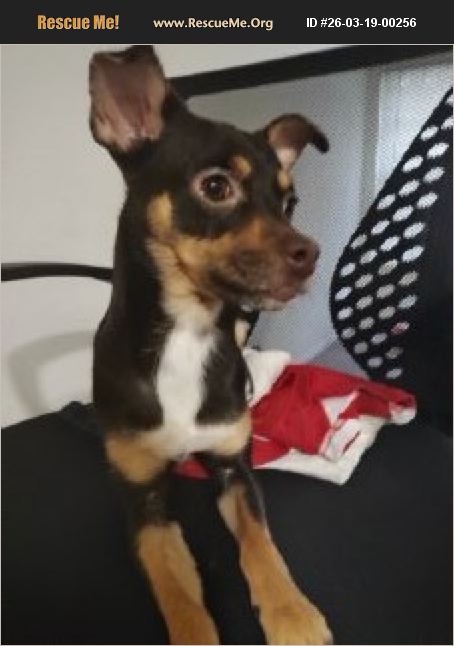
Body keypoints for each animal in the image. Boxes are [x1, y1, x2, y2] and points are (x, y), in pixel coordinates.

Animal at [89, 45, 332, 645]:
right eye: (217, 187)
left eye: (290, 202)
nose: (311, 255)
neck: (188, 332)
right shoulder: (143, 503)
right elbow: (176, 592)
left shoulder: (233, 471)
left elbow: (262, 546)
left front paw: (292, 614)